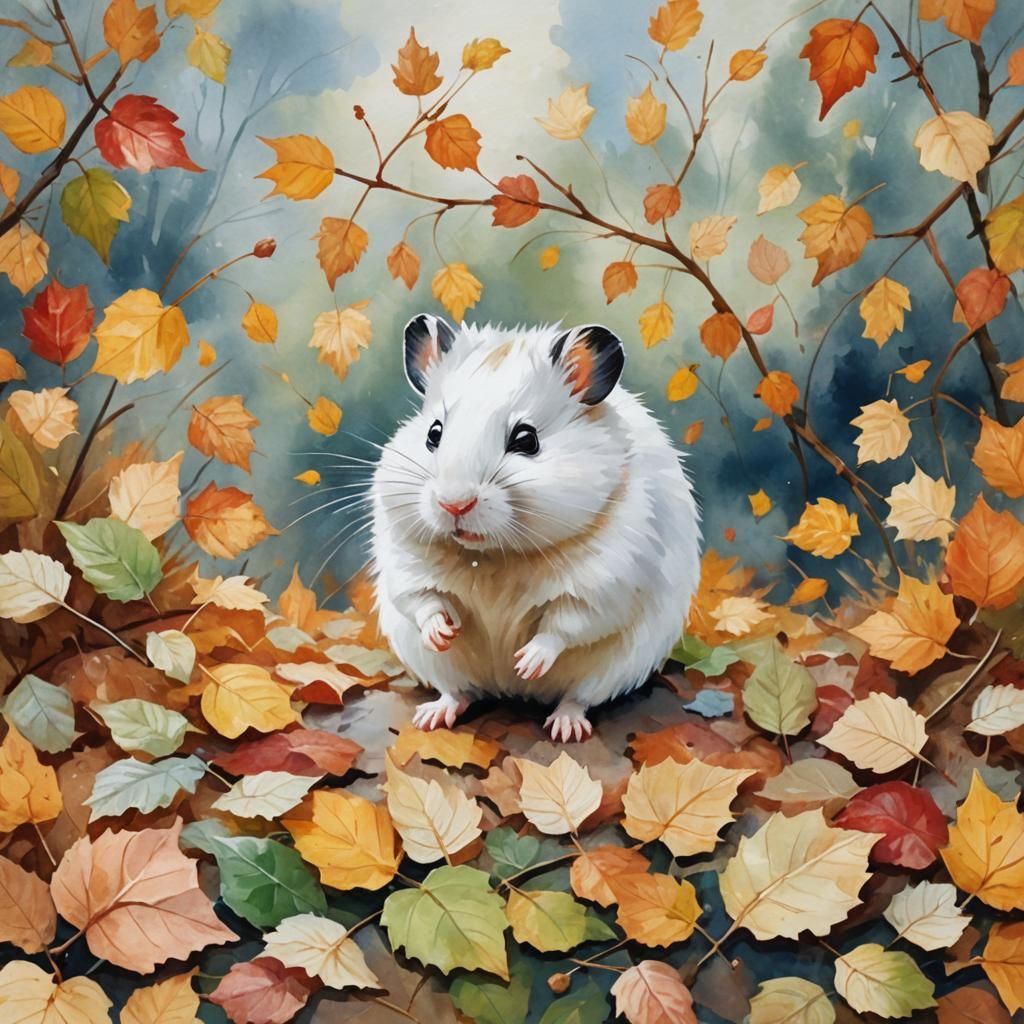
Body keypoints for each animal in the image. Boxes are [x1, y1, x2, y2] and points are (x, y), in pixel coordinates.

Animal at [370, 314, 701, 741]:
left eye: (527, 440)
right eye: (433, 434)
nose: (453, 503)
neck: (493, 556)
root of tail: (509, 693)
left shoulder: (606, 585)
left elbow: (564, 625)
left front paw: (525, 662)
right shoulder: (405, 562)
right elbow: (423, 602)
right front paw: (443, 634)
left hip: (611, 669)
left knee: (578, 697)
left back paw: (564, 726)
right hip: (440, 667)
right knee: (458, 692)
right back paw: (431, 716)